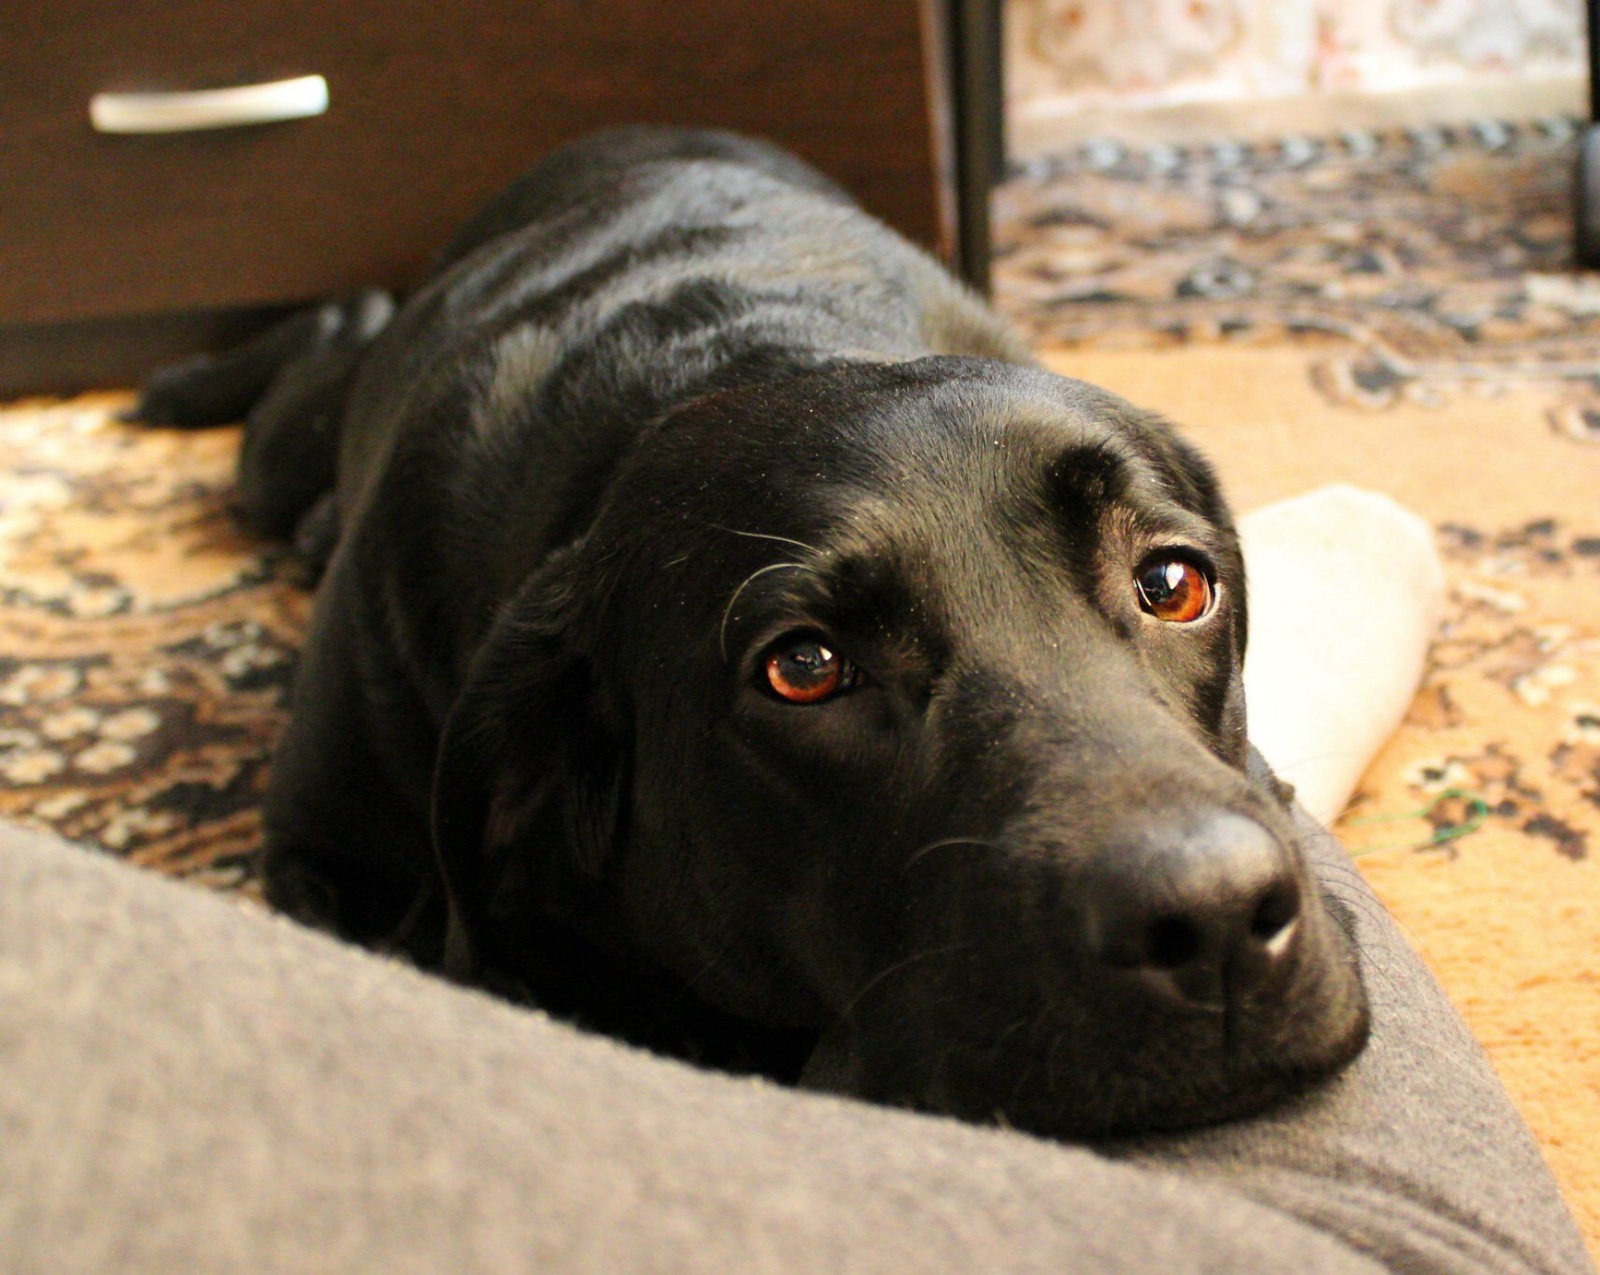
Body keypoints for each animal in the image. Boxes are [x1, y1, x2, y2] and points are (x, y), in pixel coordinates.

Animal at [137, 121, 1363, 1132]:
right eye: (805, 668)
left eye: (1174, 584)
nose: (1211, 918)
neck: (755, 346)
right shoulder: (325, 861)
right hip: (287, 452)